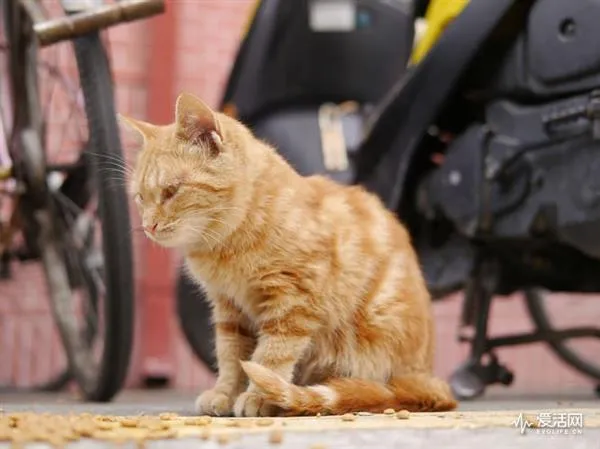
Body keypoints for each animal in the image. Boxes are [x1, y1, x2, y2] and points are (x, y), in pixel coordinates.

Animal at [122, 92, 460, 416]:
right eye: (141, 198)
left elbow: (272, 354)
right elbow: (231, 355)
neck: (229, 240)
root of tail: (429, 380)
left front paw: (259, 396)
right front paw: (225, 394)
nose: (148, 226)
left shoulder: (293, 300)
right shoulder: (230, 309)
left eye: (171, 191)